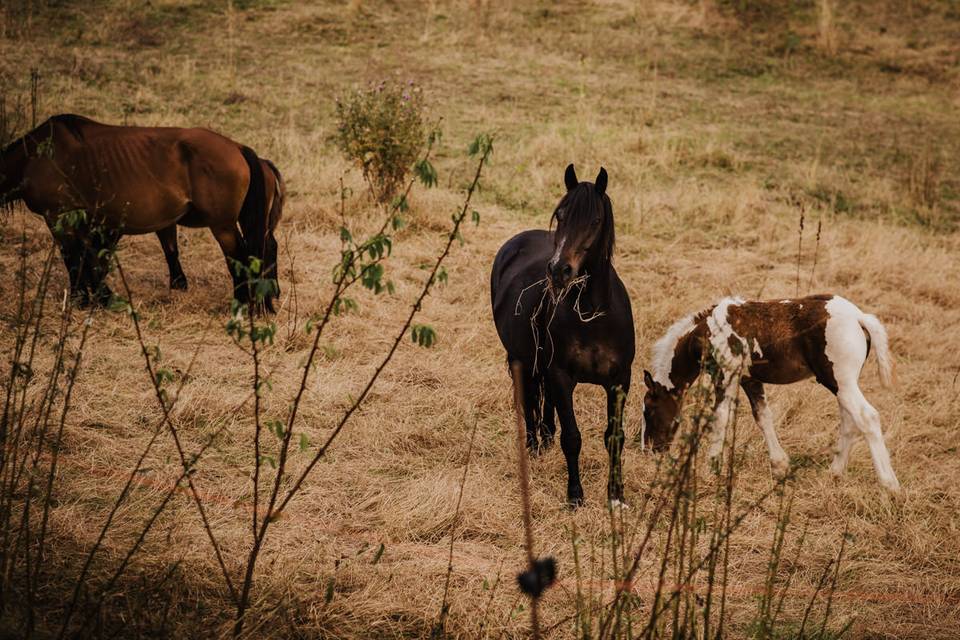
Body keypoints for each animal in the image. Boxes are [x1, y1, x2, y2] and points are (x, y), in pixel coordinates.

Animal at [0, 114, 284, 310]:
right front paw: (99, 297)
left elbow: (75, 258)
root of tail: (238, 148)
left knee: (240, 257)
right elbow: (92, 259)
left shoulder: (58, 217)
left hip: (223, 226)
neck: (33, 157)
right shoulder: (95, 223)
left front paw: (84, 299)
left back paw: (244, 303)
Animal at [492, 166, 632, 510]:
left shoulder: (620, 380)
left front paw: (616, 495)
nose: (559, 270)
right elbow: (573, 437)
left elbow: (614, 437)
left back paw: (546, 435)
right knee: (527, 399)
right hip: (520, 360)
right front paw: (575, 495)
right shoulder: (561, 375)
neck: (594, 313)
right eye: (561, 215)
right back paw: (533, 445)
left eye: (595, 220)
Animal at [644, 292, 900, 492]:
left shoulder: (725, 376)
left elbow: (720, 418)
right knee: (849, 420)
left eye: (649, 410)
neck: (707, 331)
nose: (649, 449)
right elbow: (763, 417)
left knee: (867, 417)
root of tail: (859, 317)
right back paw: (835, 472)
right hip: (841, 385)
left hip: (841, 382)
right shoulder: (749, 379)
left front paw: (711, 467)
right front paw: (780, 466)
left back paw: (889, 485)